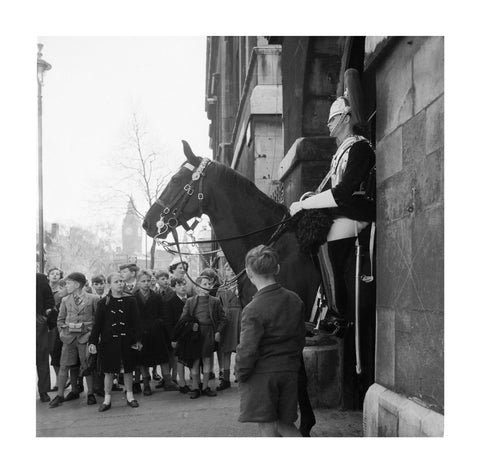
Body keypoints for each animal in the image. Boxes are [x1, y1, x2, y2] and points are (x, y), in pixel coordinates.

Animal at [143, 140, 322, 436]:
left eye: (177, 179)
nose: (147, 222)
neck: (274, 246)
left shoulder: (290, 325)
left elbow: (296, 374)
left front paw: (304, 423)